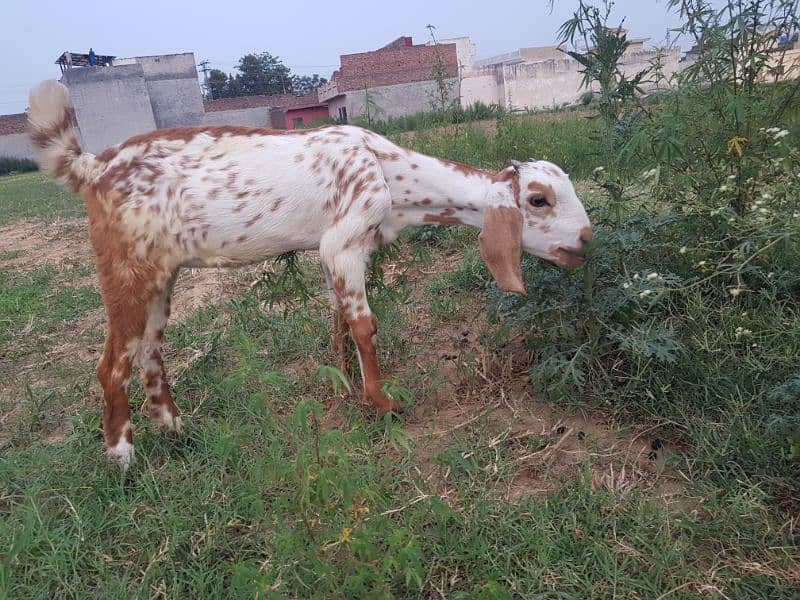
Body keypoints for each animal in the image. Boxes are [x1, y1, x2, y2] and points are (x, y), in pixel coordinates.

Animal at [28, 79, 592, 468]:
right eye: (537, 200)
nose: (587, 240)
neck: (388, 170)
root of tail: (94, 167)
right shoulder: (344, 243)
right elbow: (364, 325)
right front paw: (381, 402)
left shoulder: (335, 254)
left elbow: (338, 320)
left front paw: (342, 384)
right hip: (126, 269)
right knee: (110, 366)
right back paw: (123, 458)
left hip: (161, 277)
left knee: (149, 351)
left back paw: (176, 428)